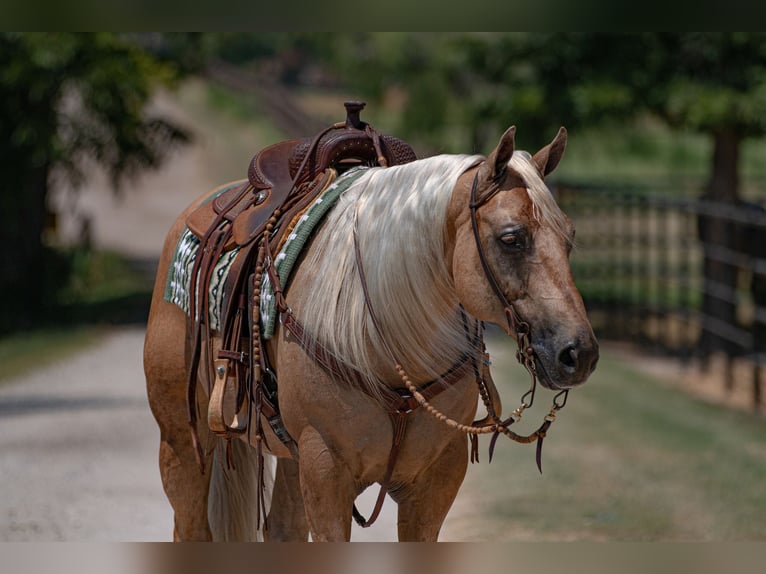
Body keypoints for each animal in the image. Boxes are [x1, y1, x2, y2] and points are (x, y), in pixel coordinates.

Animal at [144, 124, 600, 544]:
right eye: (510, 238)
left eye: (570, 239)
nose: (578, 353)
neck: (385, 342)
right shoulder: (326, 472)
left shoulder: (435, 481)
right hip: (182, 442)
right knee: (190, 525)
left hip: (289, 455)